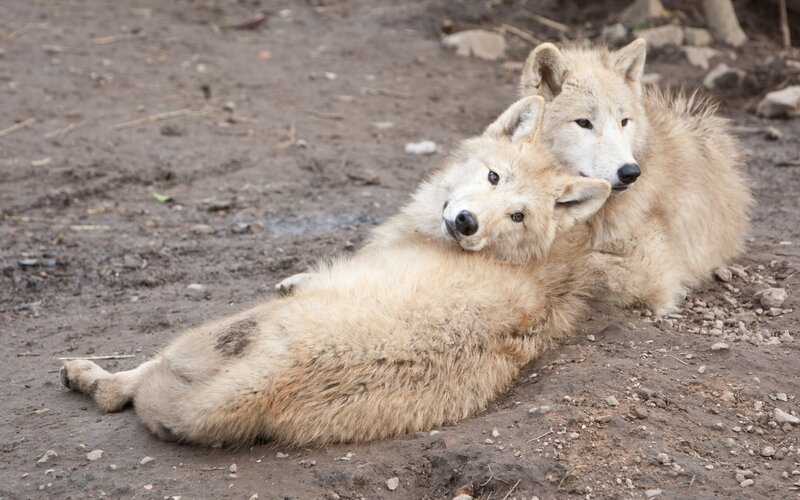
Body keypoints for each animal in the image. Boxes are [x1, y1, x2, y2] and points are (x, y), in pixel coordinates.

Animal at [61, 97, 611, 447]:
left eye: (518, 215)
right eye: (494, 176)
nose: (466, 223)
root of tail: (270, 380)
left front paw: (294, 278)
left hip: (204, 333)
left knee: (125, 387)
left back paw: (85, 375)